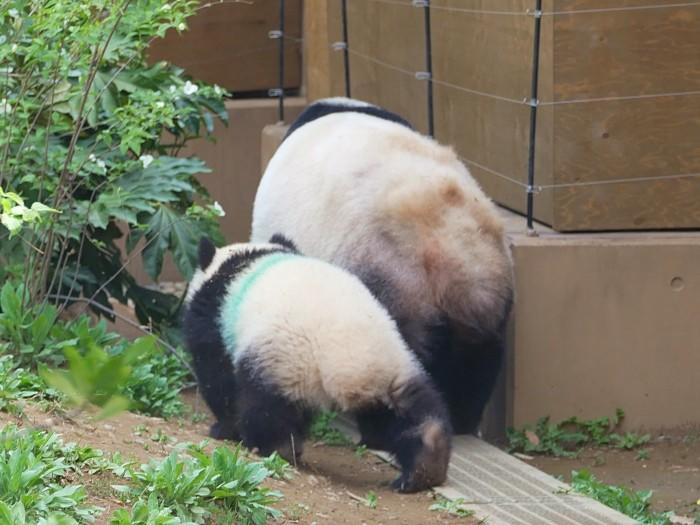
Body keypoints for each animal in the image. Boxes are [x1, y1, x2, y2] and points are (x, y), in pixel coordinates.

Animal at [183, 235, 452, 494]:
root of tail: (350, 362)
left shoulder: (214, 321)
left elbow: (217, 377)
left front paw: (223, 429)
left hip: (281, 359)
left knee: (265, 407)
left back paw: (276, 447)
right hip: (395, 368)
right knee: (409, 414)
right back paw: (426, 464)